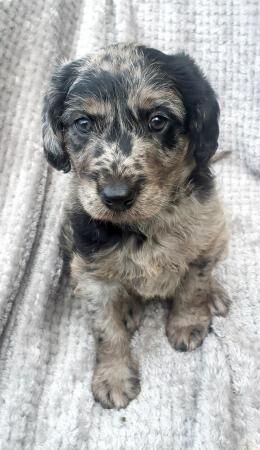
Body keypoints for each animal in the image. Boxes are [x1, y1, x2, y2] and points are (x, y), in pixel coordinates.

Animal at [42, 44, 230, 410]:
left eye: (158, 121)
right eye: (83, 123)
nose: (116, 196)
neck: (145, 223)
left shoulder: (204, 236)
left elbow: (194, 286)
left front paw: (188, 324)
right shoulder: (92, 274)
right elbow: (107, 330)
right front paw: (113, 377)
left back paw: (215, 295)